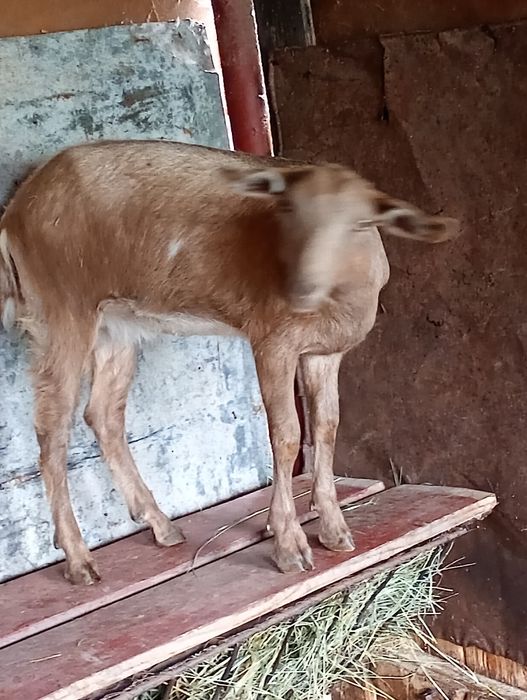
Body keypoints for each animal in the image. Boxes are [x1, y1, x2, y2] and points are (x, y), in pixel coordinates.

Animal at [0, 140, 458, 584]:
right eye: (288, 209)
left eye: (359, 224)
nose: (302, 287)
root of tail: (18, 210)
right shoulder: (272, 340)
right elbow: (287, 434)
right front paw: (289, 545)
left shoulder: (325, 353)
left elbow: (327, 426)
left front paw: (334, 529)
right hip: (61, 310)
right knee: (52, 431)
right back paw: (80, 560)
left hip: (116, 327)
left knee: (103, 415)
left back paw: (161, 526)